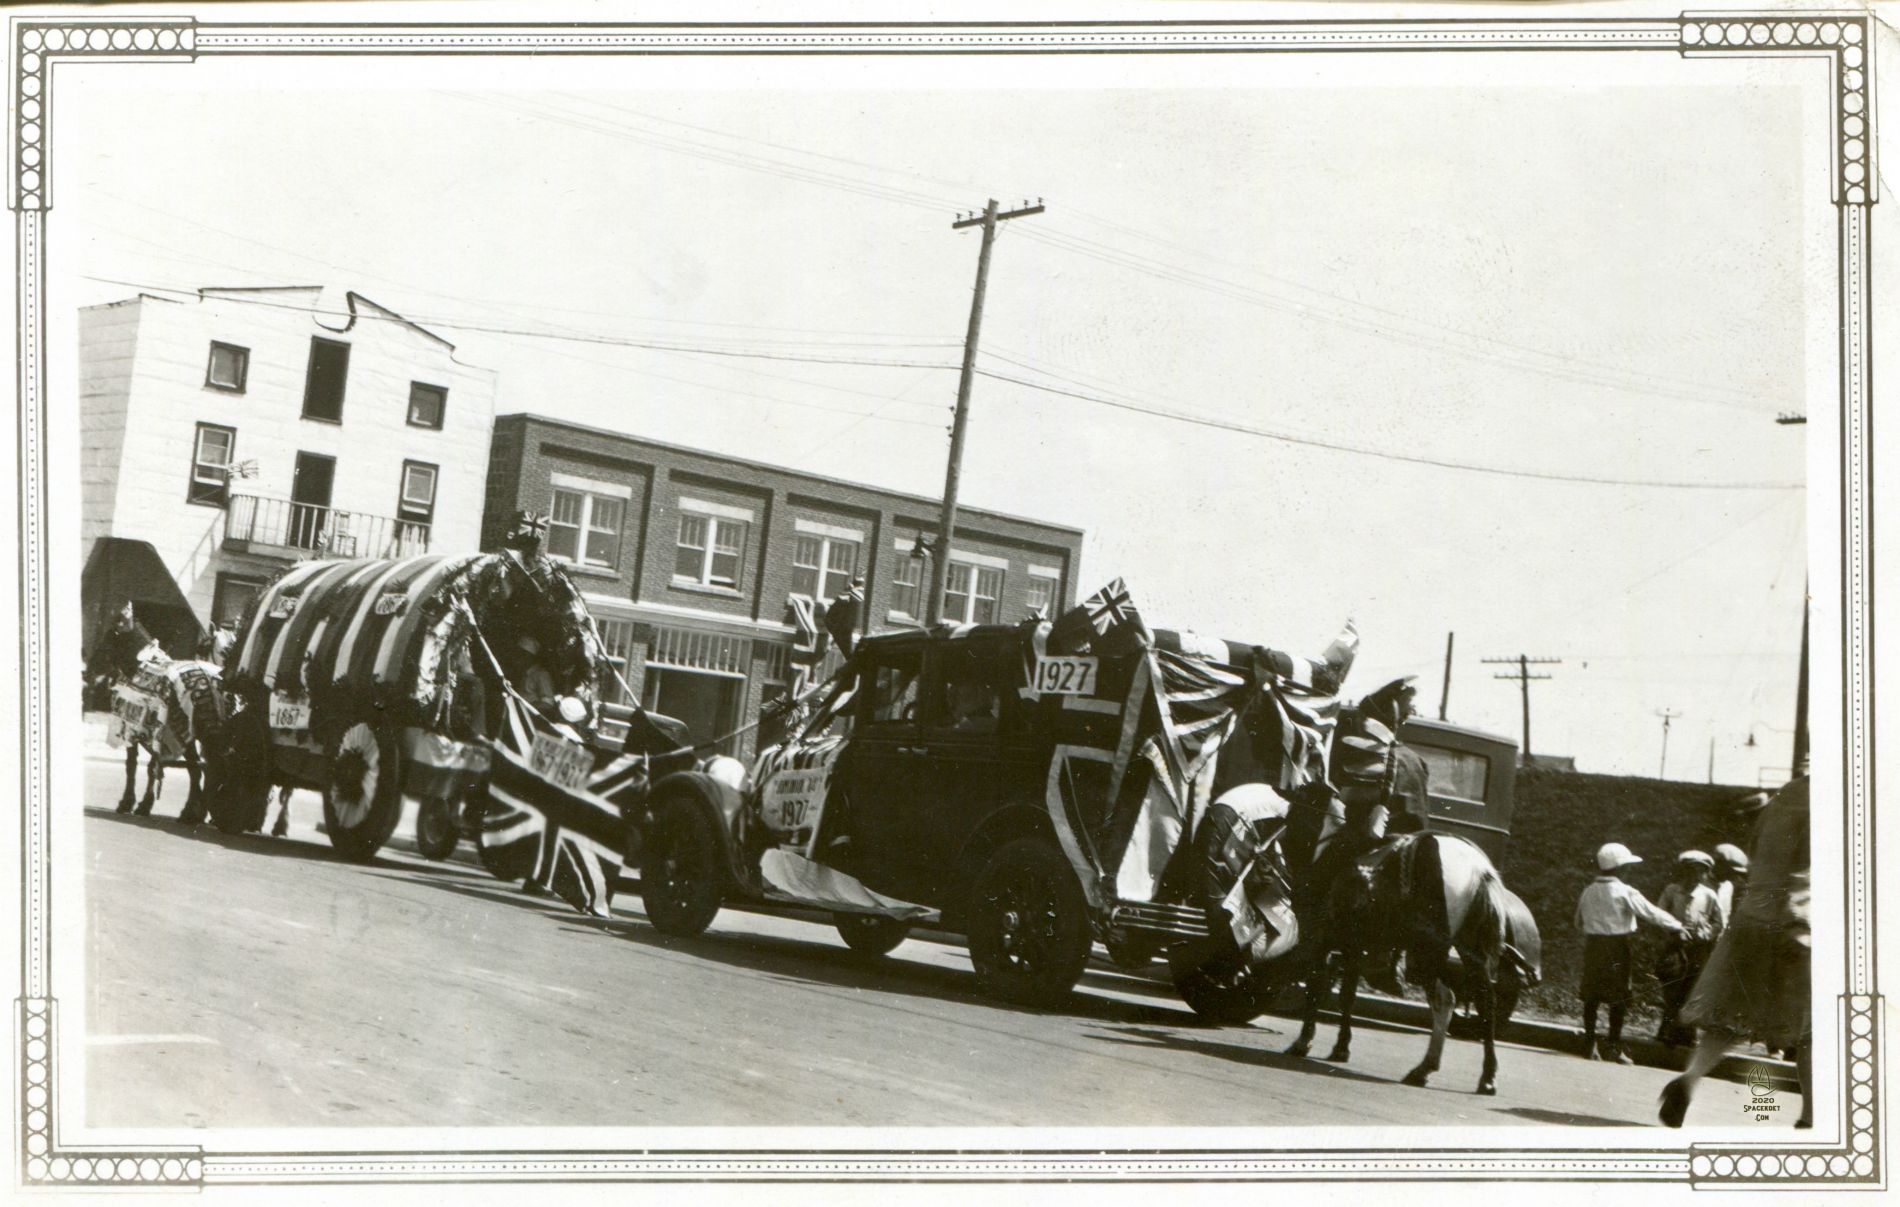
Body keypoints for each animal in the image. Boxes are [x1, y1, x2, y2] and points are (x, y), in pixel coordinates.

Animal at [1284, 836, 1520, 1102]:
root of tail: (1478, 869)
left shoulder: (1321, 938)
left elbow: (1316, 988)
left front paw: (1304, 1041)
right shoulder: (1353, 946)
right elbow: (1346, 995)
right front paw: (1341, 1047)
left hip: (1429, 951)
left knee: (1445, 1000)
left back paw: (1425, 1068)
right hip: (1470, 952)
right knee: (1485, 1002)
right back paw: (1486, 1077)